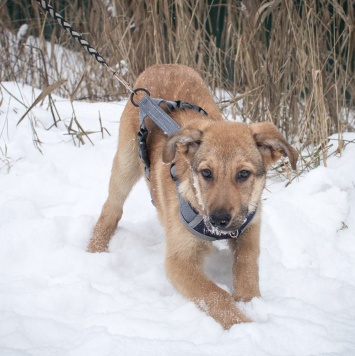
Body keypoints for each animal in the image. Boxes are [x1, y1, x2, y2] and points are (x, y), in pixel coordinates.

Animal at [87, 64, 298, 330]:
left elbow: (247, 266)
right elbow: (214, 294)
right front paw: (243, 326)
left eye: (243, 174)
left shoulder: (250, 227)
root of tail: (161, 65)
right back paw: (95, 250)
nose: (219, 220)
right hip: (125, 164)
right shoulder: (179, 260)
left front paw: (250, 302)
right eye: (206, 173)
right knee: (112, 208)